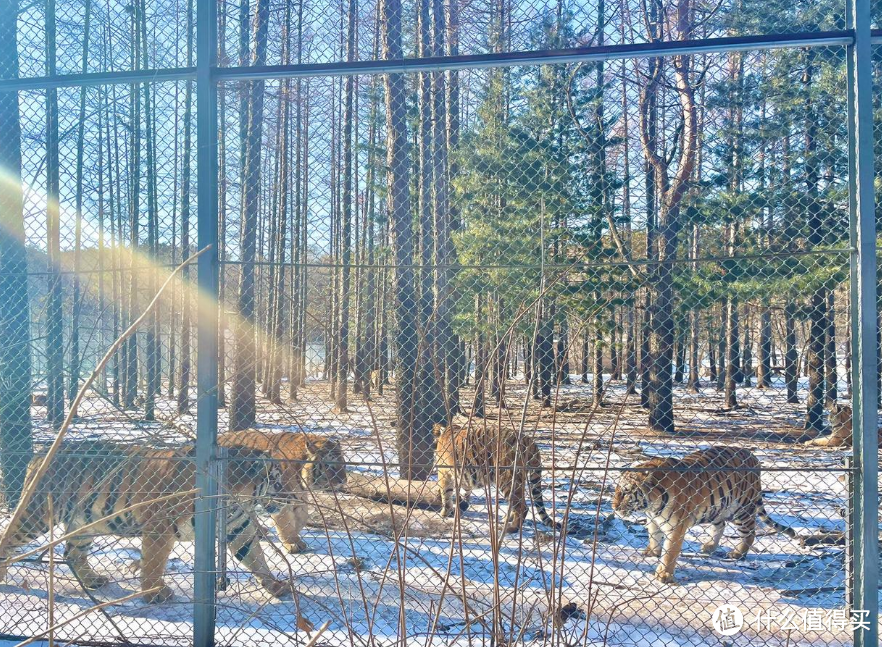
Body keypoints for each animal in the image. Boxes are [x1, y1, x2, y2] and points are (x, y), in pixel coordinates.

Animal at [0, 442, 288, 604]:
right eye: (276, 479)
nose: (288, 497)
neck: (233, 502)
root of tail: (40, 454)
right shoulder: (160, 527)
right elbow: (153, 563)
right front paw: (154, 594)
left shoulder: (238, 528)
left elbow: (257, 559)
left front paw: (277, 586)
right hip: (35, 515)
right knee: (9, 539)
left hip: (84, 522)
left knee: (72, 552)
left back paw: (93, 580)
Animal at [218, 432, 346, 556]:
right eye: (329, 466)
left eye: (344, 464)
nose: (344, 481)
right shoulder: (281, 500)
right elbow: (286, 524)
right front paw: (292, 544)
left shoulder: (300, 498)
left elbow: (301, 519)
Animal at [432, 422, 560, 536]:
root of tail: (530, 442)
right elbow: (465, 490)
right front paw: (462, 506)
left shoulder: (444, 473)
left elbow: (446, 494)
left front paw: (444, 513)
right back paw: (506, 519)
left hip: (508, 479)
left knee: (522, 507)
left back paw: (511, 528)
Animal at [608, 448, 796, 584]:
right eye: (617, 490)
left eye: (625, 492)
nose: (614, 507)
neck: (651, 505)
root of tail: (754, 458)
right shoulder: (653, 519)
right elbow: (653, 535)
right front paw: (652, 552)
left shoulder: (676, 527)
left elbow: (670, 552)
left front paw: (664, 575)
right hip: (719, 508)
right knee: (721, 526)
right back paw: (710, 547)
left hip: (742, 509)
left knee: (750, 532)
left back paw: (737, 554)